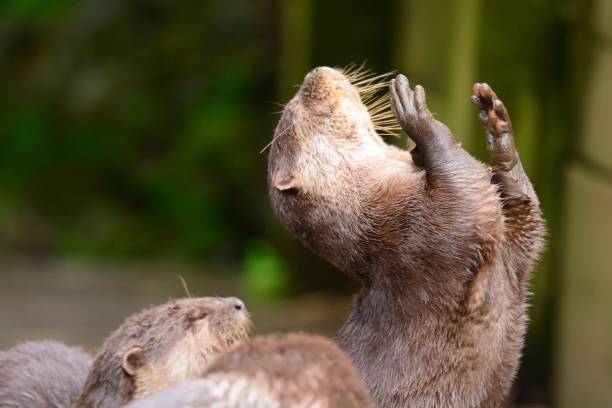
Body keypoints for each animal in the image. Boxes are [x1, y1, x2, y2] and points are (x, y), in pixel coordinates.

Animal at [268, 67, 544, 408]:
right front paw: (419, 121)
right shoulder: (425, 233)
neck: (375, 211)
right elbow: (464, 185)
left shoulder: (514, 250)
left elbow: (524, 209)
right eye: (297, 110)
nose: (313, 74)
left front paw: (498, 129)